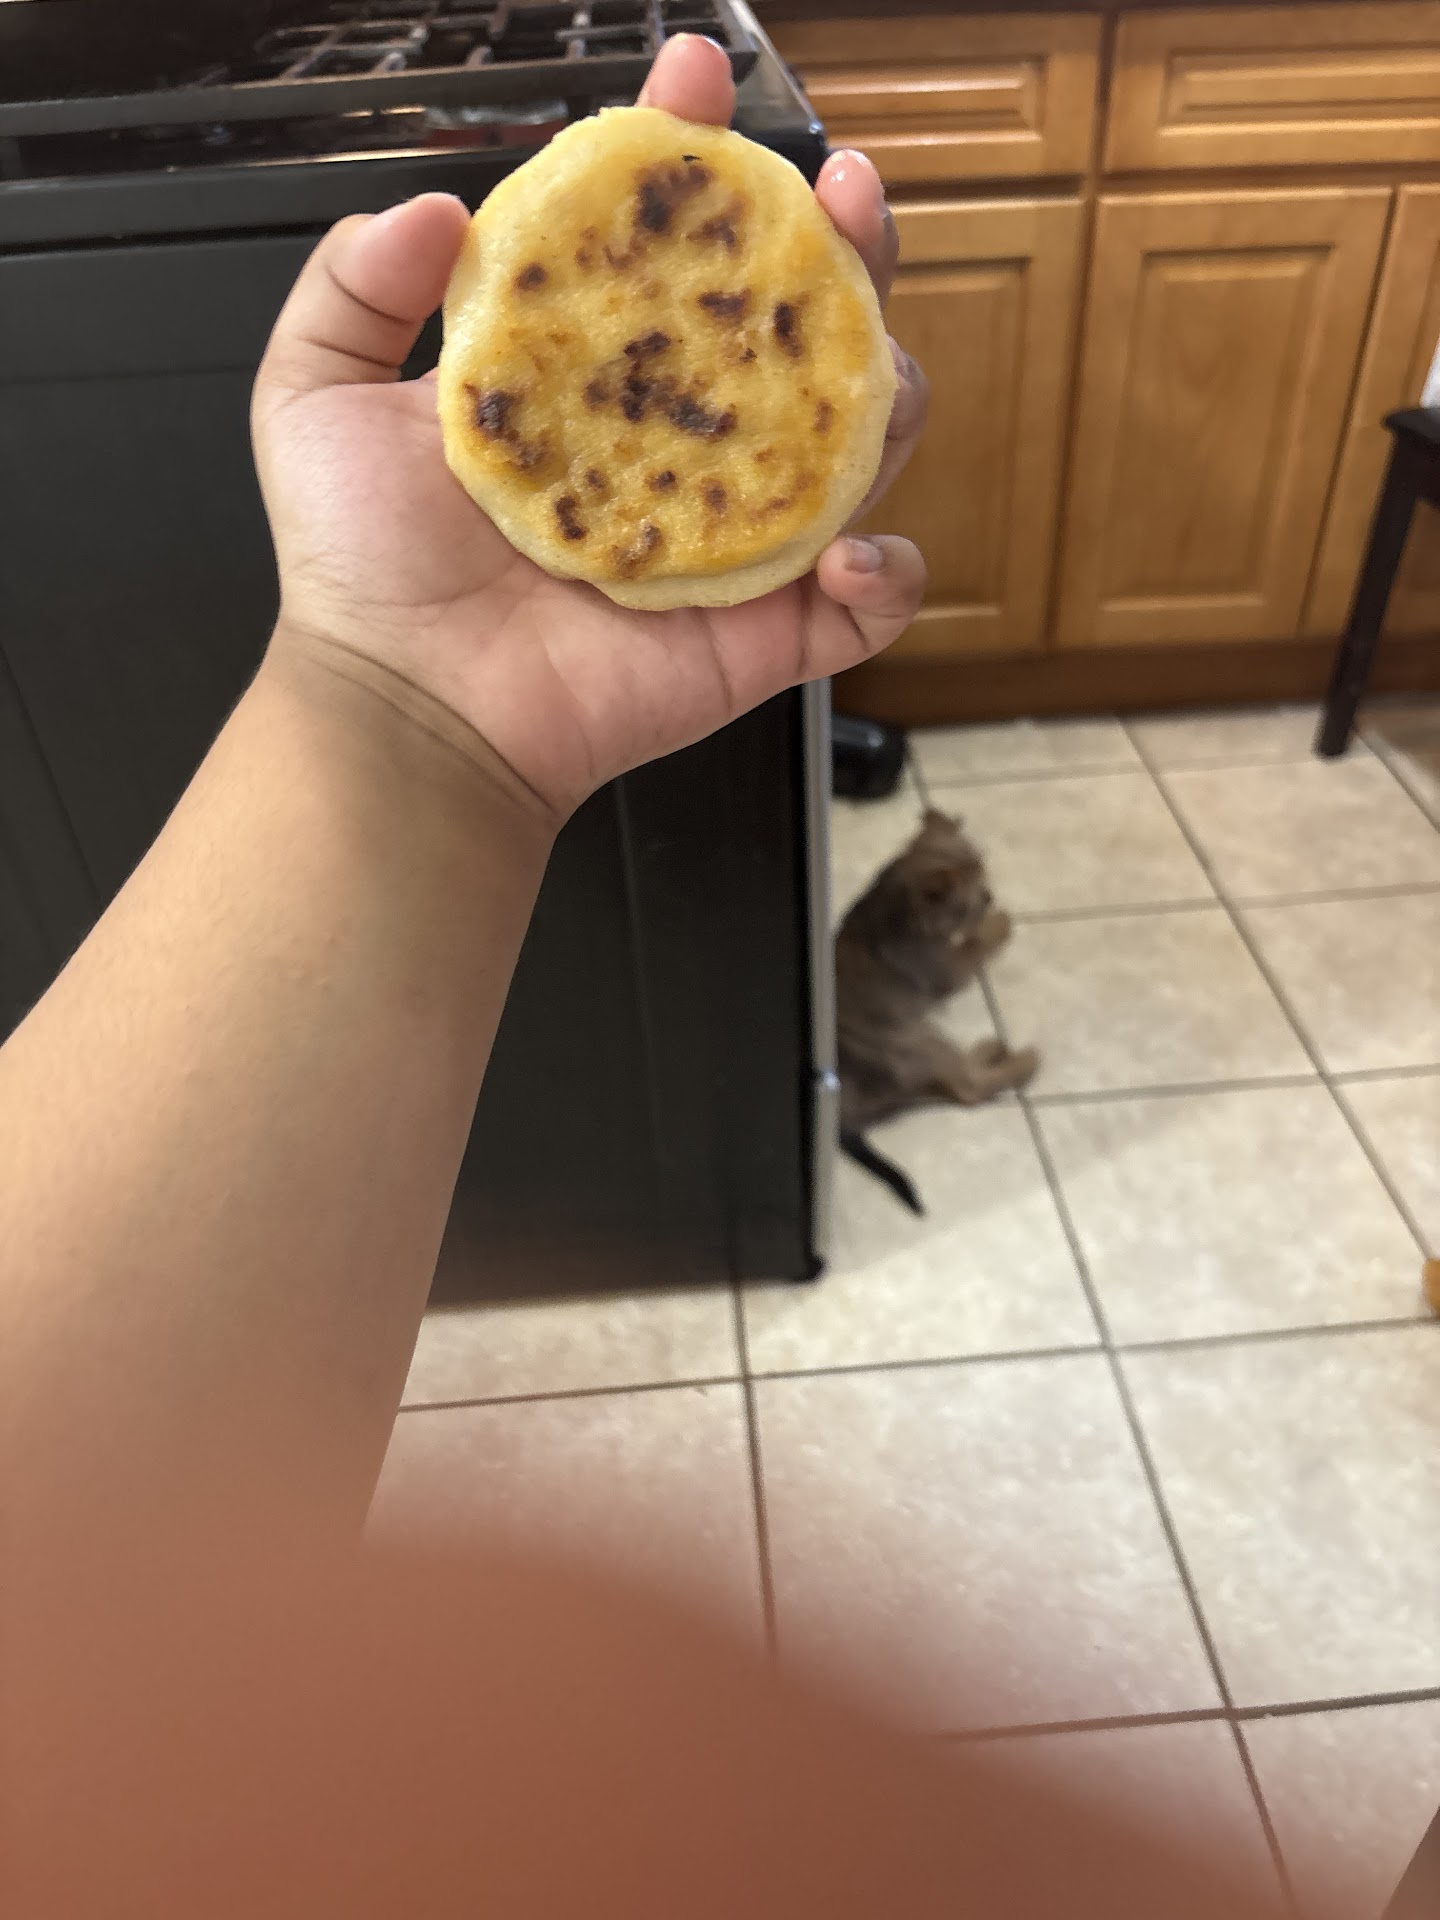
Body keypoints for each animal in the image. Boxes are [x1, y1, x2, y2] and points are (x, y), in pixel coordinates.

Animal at [836, 808, 1038, 1213]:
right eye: (968, 896)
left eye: (983, 872)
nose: (989, 897)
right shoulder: (949, 969)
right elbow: (976, 943)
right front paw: (999, 921)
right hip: (922, 1040)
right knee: (968, 1091)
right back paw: (1023, 1061)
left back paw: (991, 1047)